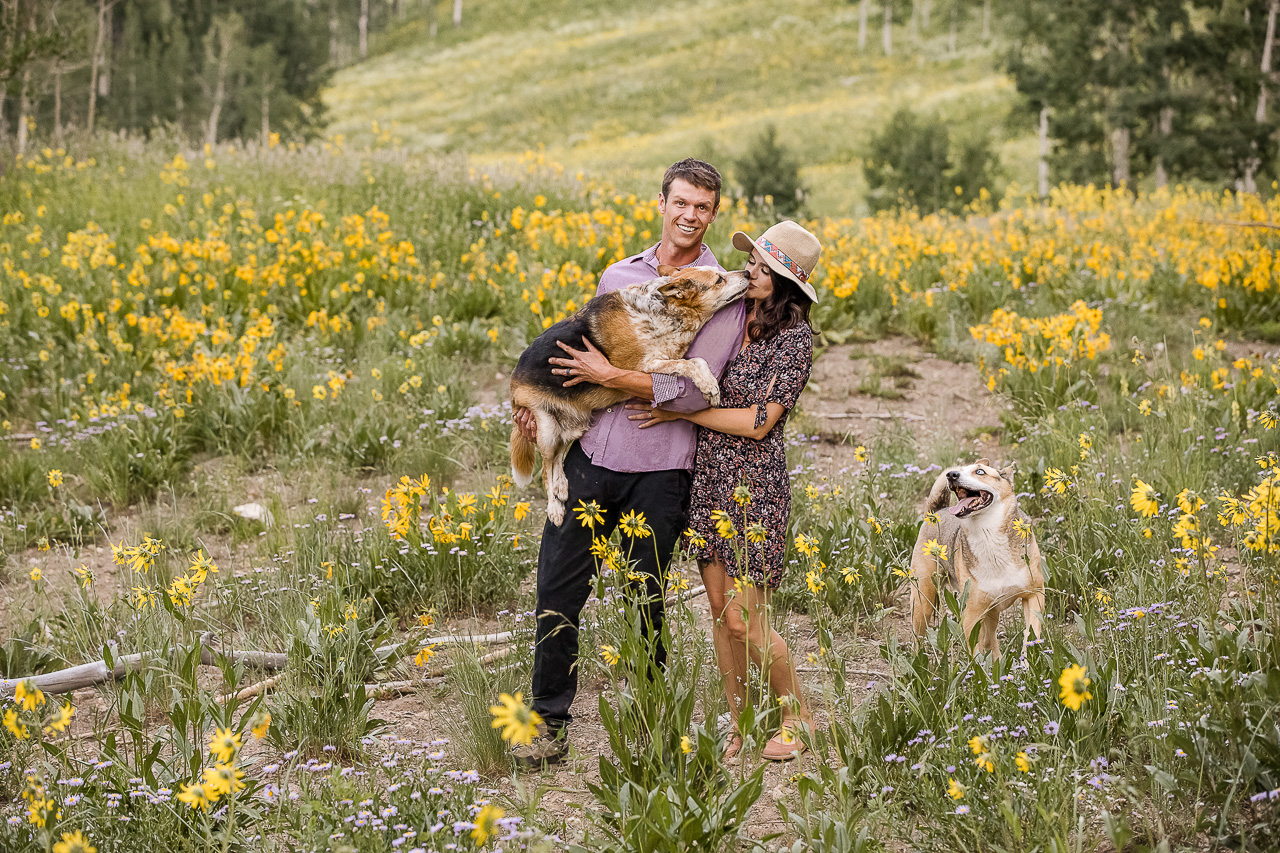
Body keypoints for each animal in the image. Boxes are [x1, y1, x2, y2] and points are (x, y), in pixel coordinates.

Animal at [906, 458, 1044, 650]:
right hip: (923, 601)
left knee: (991, 639)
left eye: (980, 471)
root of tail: (935, 514)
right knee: (918, 636)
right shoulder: (973, 614)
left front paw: (1028, 655)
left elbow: (1032, 631)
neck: (988, 533)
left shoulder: (1034, 593)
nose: (951, 474)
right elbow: (977, 651)